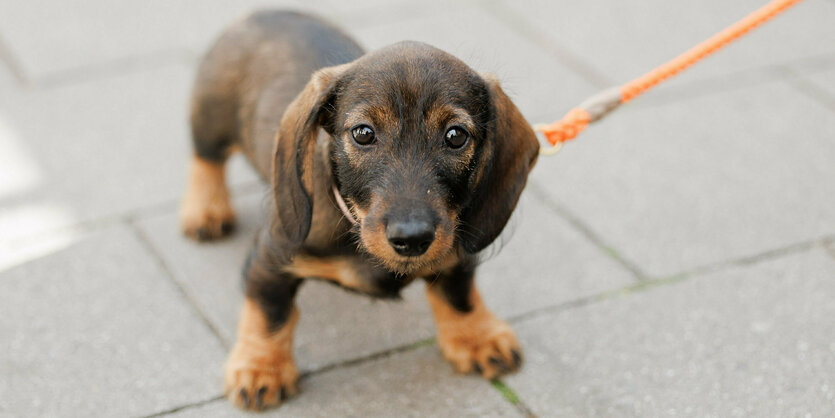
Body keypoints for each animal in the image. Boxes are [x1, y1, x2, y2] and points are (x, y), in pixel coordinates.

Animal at [180, 9, 540, 412]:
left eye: (456, 136)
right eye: (363, 133)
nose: (412, 238)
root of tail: (266, 13)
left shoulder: (455, 247)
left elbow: (458, 293)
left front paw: (477, 336)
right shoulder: (270, 257)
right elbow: (269, 313)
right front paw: (261, 368)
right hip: (211, 118)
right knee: (206, 159)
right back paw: (206, 209)